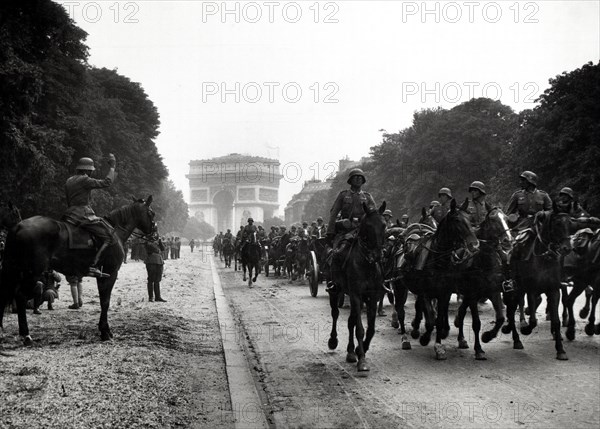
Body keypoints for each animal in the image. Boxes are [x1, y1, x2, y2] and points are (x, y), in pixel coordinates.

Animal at [0, 196, 157, 342]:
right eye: (151, 213)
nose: (155, 235)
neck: (115, 231)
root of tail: (18, 226)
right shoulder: (110, 273)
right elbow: (105, 302)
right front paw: (105, 332)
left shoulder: (102, 275)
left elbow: (103, 301)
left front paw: (103, 329)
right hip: (31, 273)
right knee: (20, 296)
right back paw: (26, 335)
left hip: (17, 272)